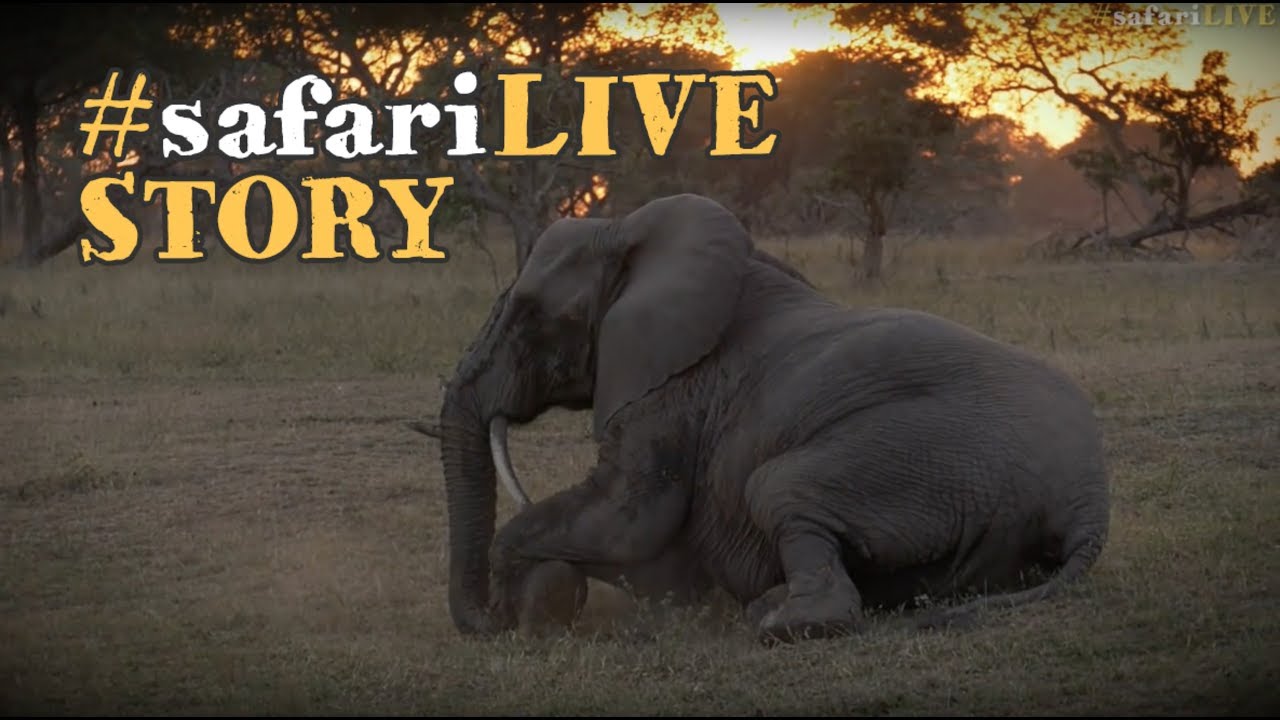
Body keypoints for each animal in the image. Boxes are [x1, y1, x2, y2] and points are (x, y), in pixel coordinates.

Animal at [434, 193, 1110, 644]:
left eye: (530, 315)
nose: (490, 624)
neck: (631, 233)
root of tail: (1086, 504)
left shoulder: (673, 393)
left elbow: (629, 521)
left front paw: (532, 607)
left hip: (927, 457)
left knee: (778, 486)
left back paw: (777, 619)